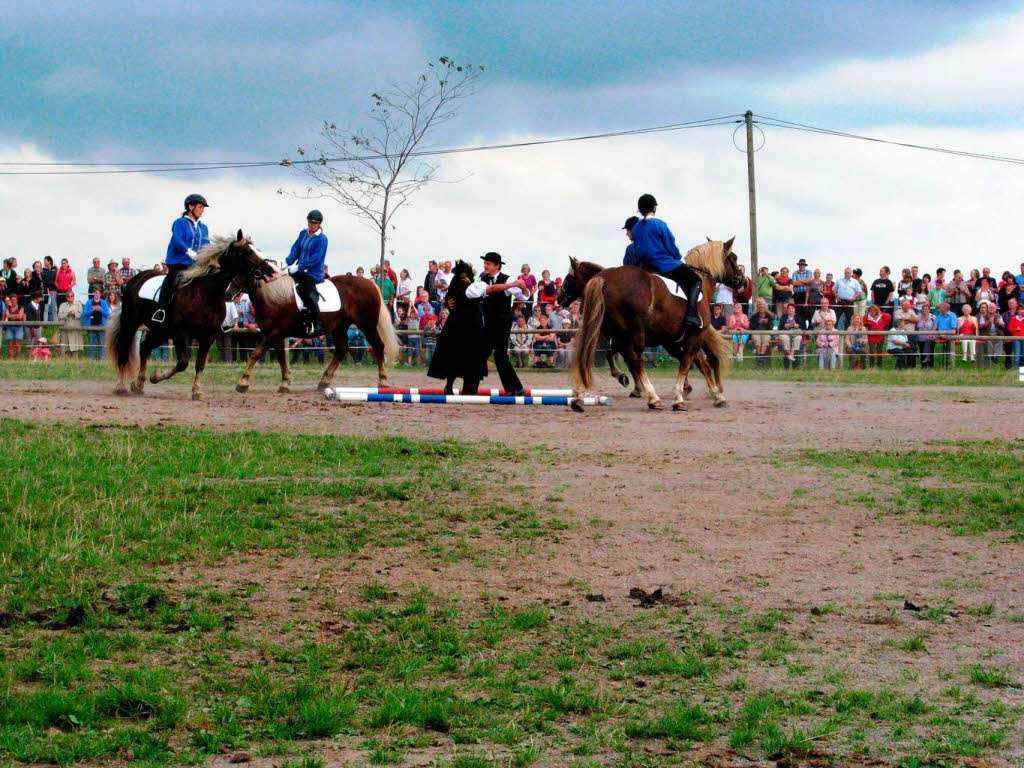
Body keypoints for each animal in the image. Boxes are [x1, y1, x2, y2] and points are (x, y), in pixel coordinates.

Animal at [109, 231, 276, 403]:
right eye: (247, 252)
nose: (271, 270)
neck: (207, 293)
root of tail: (135, 278)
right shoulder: (182, 333)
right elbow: (183, 363)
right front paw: (156, 377)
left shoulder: (209, 336)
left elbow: (200, 363)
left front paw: (196, 390)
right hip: (130, 323)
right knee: (124, 350)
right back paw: (121, 386)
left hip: (161, 331)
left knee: (144, 347)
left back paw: (138, 384)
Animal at [233, 268, 399, 393]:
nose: (229, 294)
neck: (274, 296)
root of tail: (369, 283)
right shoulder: (276, 335)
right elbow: (281, 358)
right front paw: (285, 383)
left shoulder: (273, 333)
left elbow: (256, 353)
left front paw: (243, 382)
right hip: (340, 327)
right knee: (341, 349)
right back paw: (324, 381)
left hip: (367, 325)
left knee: (378, 346)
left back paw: (383, 381)